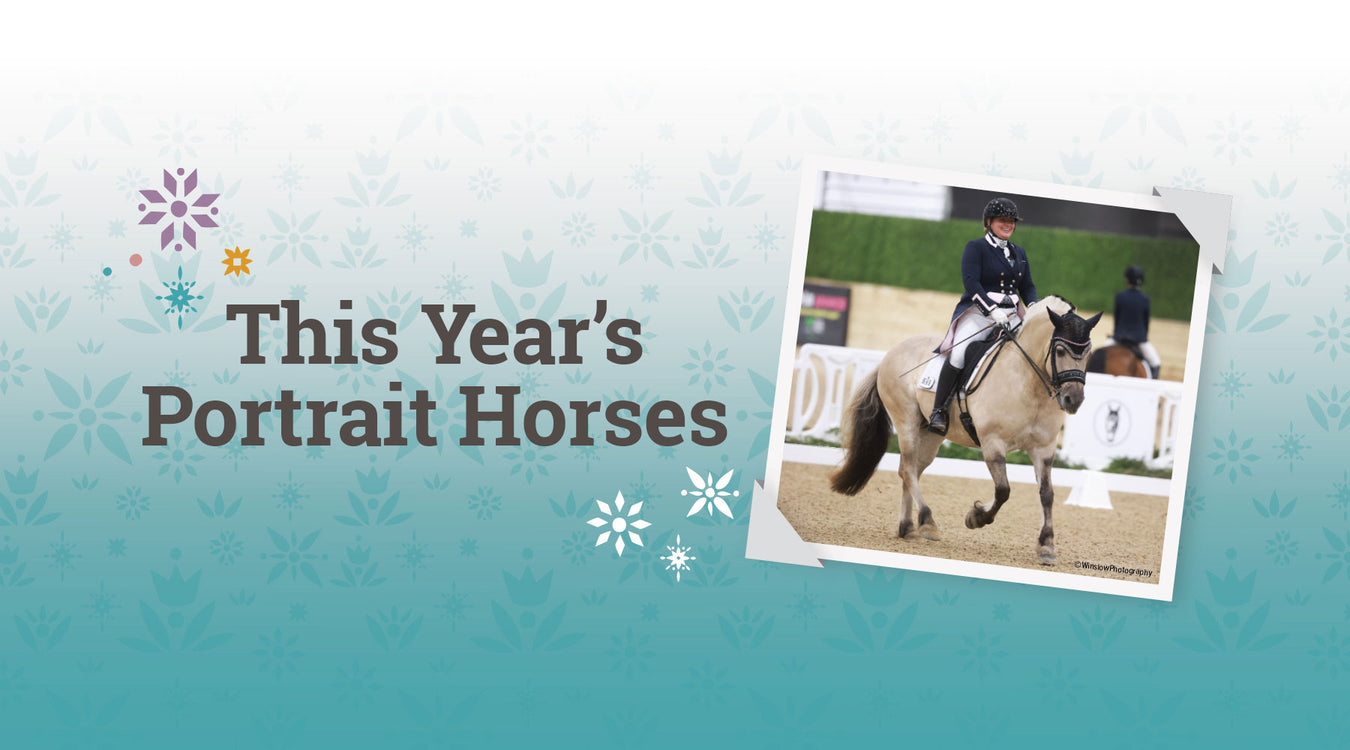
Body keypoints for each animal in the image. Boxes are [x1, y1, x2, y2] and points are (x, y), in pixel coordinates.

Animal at [828, 296, 1101, 565]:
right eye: (1060, 350)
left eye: (1088, 352)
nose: (1073, 400)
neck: (1029, 382)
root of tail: (891, 352)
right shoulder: (993, 443)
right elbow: (1003, 490)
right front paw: (976, 517)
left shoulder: (1043, 449)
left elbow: (1046, 494)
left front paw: (1047, 545)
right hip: (906, 422)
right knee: (907, 469)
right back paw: (928, 522)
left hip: (929, 435)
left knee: (910, 470)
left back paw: (907, 528)